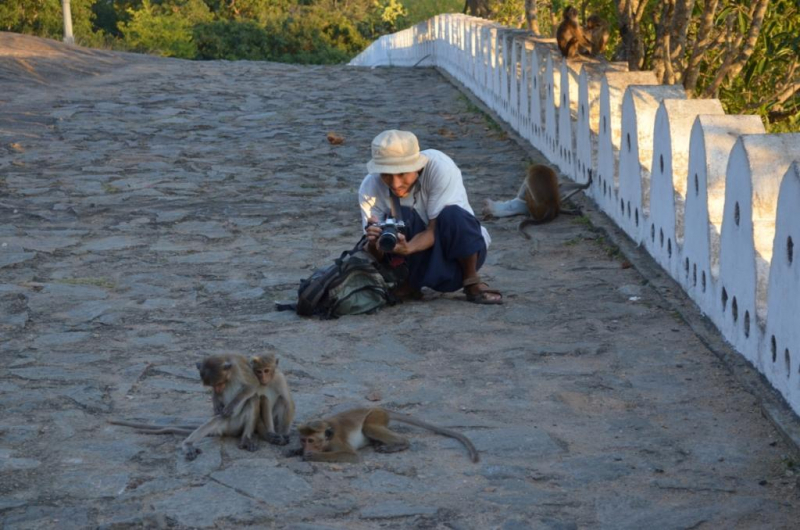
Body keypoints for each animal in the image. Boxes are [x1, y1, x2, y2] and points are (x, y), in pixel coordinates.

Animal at [108, 352, 262, 460]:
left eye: (219, 383)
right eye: (214, 385)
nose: (217, 390)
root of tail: (230, 431)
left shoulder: (241, 369)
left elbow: (253, 386)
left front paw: (231, 405)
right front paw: (216, 401)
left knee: (252, 399)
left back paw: (246, 439)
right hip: (225, 424)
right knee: (216, 419)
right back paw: (188, 445)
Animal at [290, 406, 478, 460]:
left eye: (311, 441)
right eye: (303, 440)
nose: (306, 448)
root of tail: (381, 408)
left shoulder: (337, 440)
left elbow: (351, 456)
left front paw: (313, 456)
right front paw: (296, 450)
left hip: (376, 417)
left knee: (368, 427)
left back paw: (399, 444)